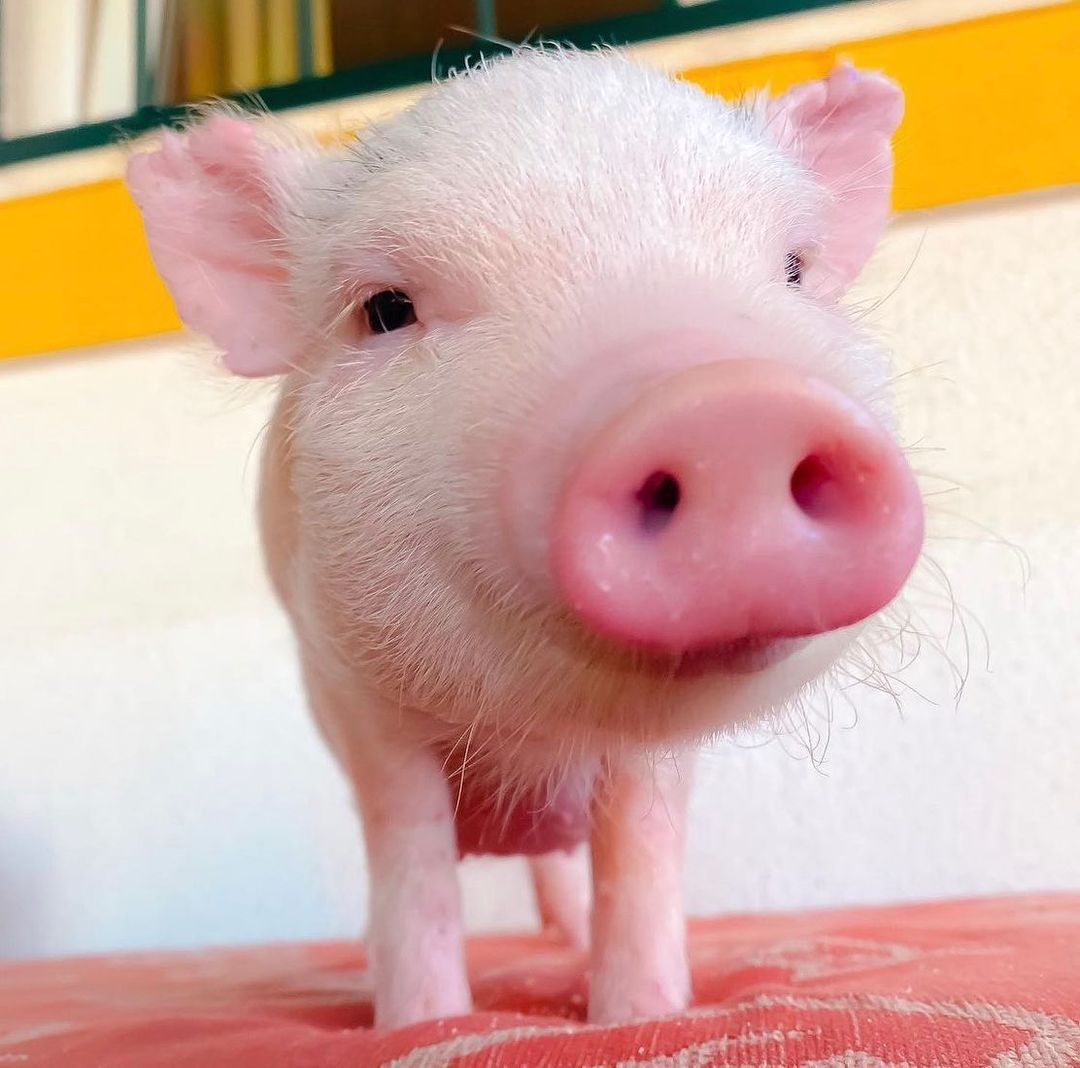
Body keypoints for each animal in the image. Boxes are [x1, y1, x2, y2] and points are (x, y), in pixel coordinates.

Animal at [125, 47, 923, 1029]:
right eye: (386, 309)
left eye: (794, 270)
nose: (731, 410)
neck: (529, 738)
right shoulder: (360, 705)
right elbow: (412, 861)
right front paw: (423, 1024)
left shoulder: (649, 764)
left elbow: (640, 856)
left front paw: (640, 1019)